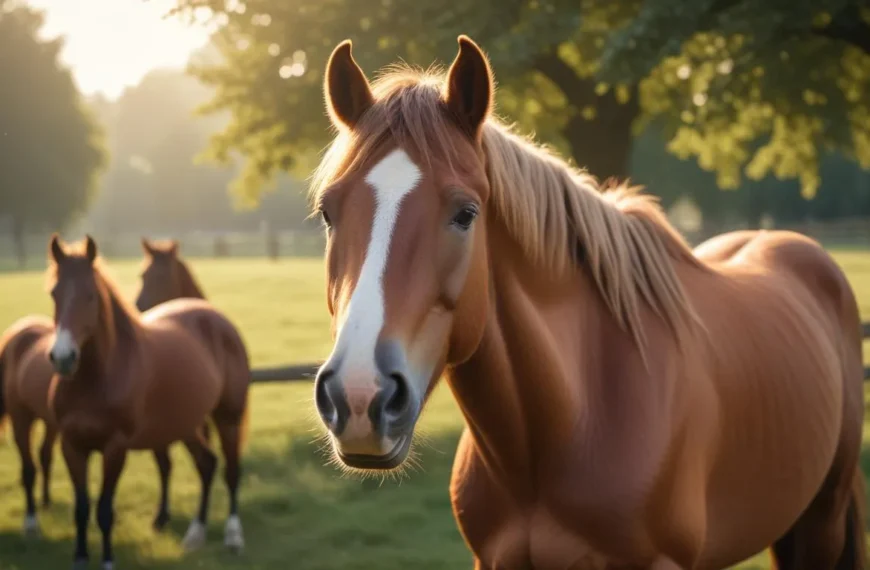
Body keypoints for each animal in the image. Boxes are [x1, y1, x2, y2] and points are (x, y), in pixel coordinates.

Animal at [46, 234, 251, 570]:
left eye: (91, 295)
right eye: (54, 293)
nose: (63, 357)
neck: (97, 377)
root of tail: (216, 318)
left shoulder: (115, 448)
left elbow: (104, 510)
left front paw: (107, 561)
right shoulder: (71, 446)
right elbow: (81, 508)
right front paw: (80, 559)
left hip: (227, 418)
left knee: (231, 470)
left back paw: (233, 536)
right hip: (186, 423)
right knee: (206, 464)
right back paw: (196, 533)